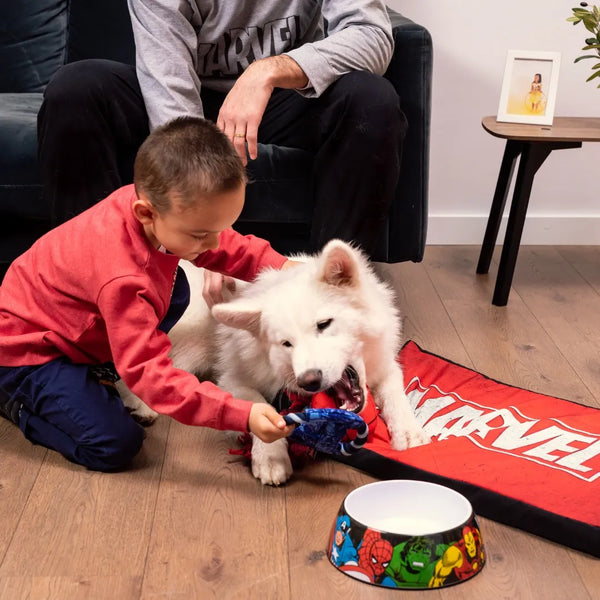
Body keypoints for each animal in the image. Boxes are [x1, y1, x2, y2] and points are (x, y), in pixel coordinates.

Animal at [118, 238, 426, 482]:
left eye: (324, 324)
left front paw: (409, 432)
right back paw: (140, 406)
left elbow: (394, 392)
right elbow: (257, 403)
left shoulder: (385, 364)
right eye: (286, 344)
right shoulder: (232, 377)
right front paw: (270, 457)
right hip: (192, 343)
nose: (309, 381)